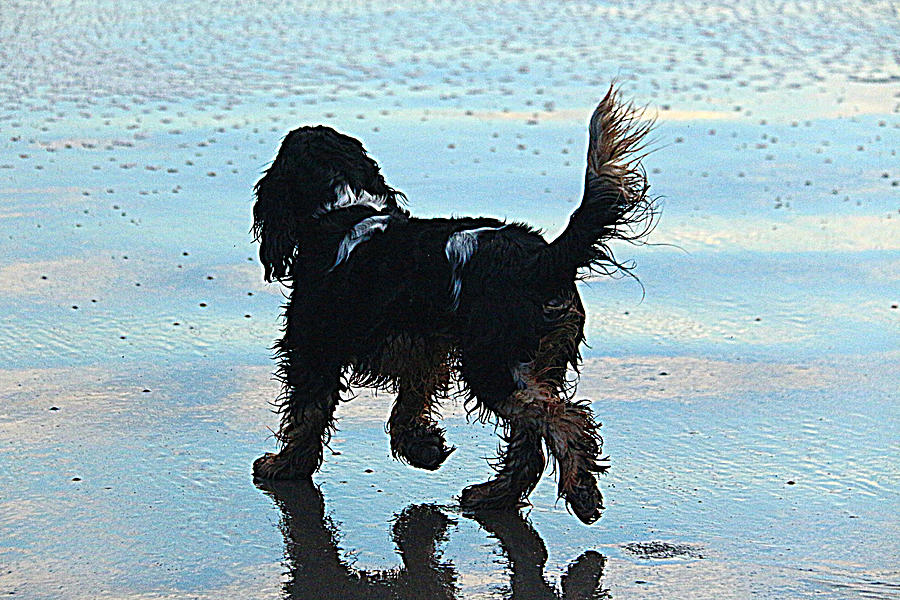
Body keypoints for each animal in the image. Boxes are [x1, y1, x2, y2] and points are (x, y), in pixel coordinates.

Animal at [250, 85, 656, 524]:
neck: (342, 207)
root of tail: (540, 259)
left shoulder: (313, 346)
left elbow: (305, 414)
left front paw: (283, 465)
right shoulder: (424, 347)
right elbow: (409, 404)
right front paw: (423, 449)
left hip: (494, 366)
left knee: (564, 419)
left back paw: (580, 492)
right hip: (536, 361)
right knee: (530, 444)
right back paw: (492, 495)